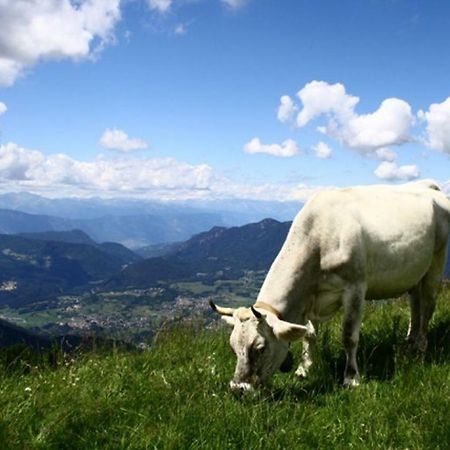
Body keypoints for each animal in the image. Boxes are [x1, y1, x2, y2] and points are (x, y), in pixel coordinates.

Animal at [211, 181, 450, 392]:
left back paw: (420, 346)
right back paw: (410, 339)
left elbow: (349, 336)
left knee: (428, 303)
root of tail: (430, 187)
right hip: (415, 271)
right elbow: (308, 334)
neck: (319, 237)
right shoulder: (310, 296)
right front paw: (304, 369)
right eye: (233, 347)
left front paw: (351, 378)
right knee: (415, 302)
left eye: (260, 348)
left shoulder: (355, 287)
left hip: (437, 259)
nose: (238, 389)